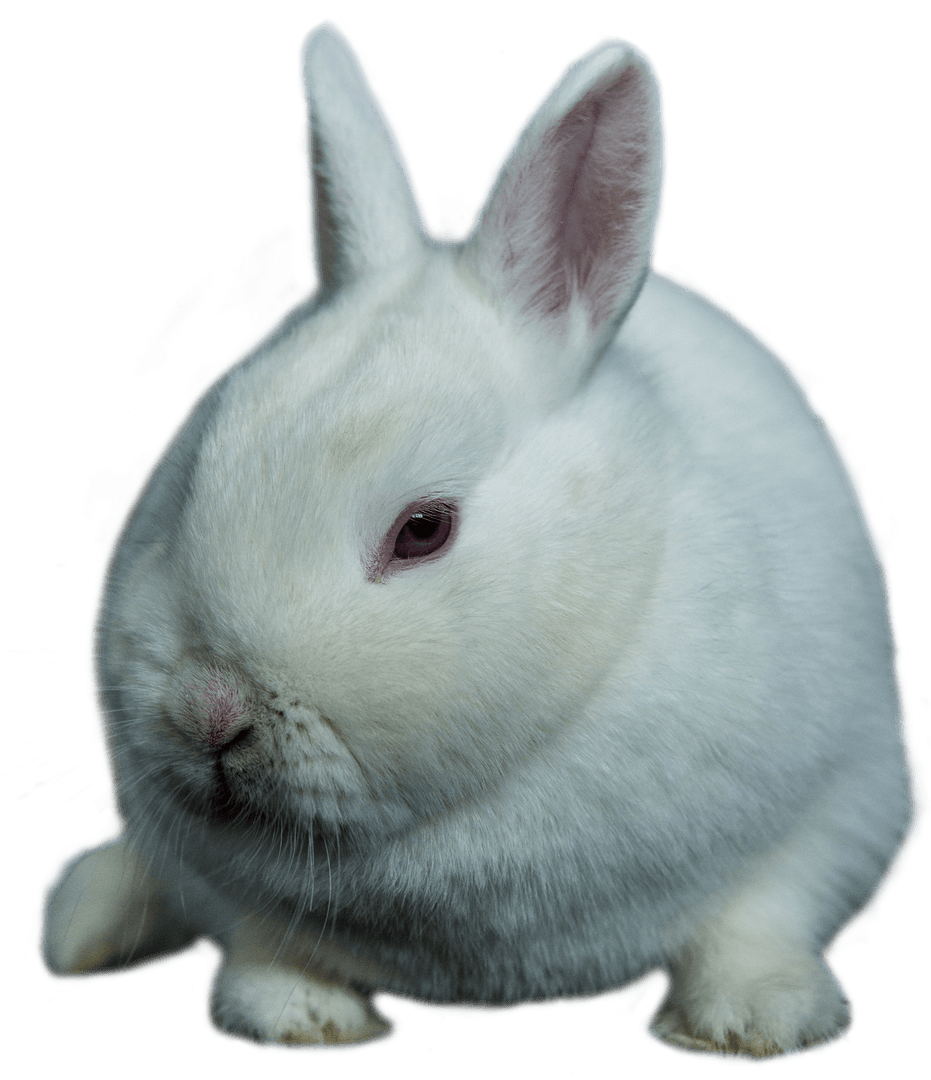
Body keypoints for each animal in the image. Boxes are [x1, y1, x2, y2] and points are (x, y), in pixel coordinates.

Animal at [35, 17, 924, 1062]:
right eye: (189, 487)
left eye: (422, 531)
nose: (210, 712)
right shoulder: (223, 883)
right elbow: (260, 940)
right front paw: (302, 1018)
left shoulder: (841, 805)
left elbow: (756, 920)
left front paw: (754, 1023)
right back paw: (78, 927)